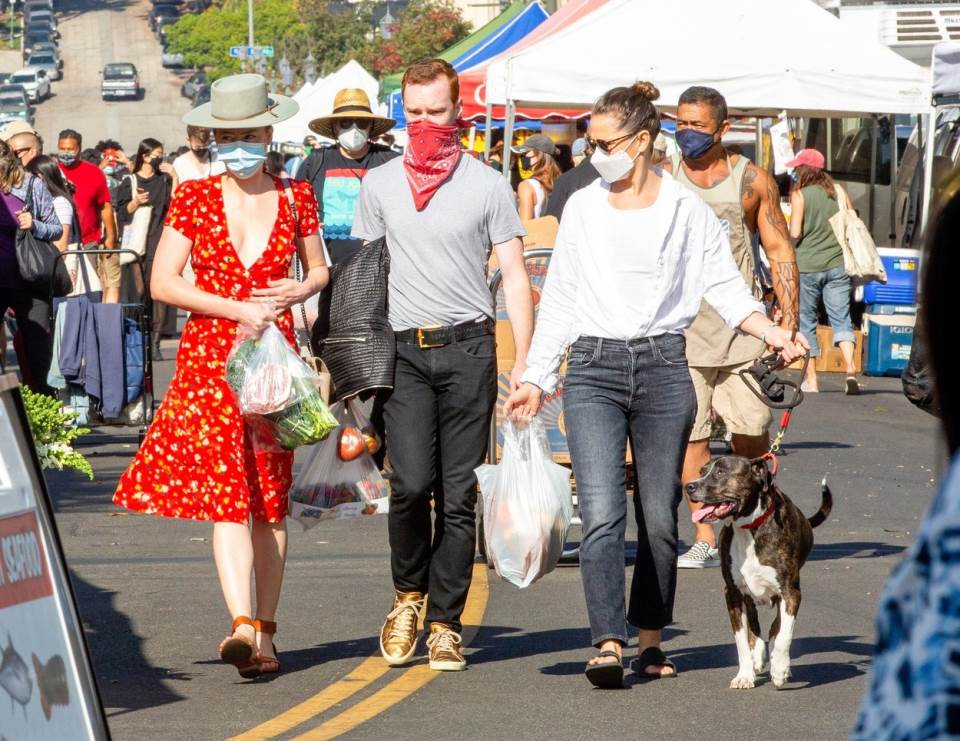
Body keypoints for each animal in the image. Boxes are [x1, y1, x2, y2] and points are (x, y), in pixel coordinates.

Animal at [688, 454, 828, 692]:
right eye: (702, 471)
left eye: (721, 472)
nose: (689, 486)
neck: (748, 529)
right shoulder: (733, 594)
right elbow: (742, 640)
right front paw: (745, 675)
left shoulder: (790, 592)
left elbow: (783, 635)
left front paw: (780, 669)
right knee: (755, 626)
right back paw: (758, 657)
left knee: (775, 628)